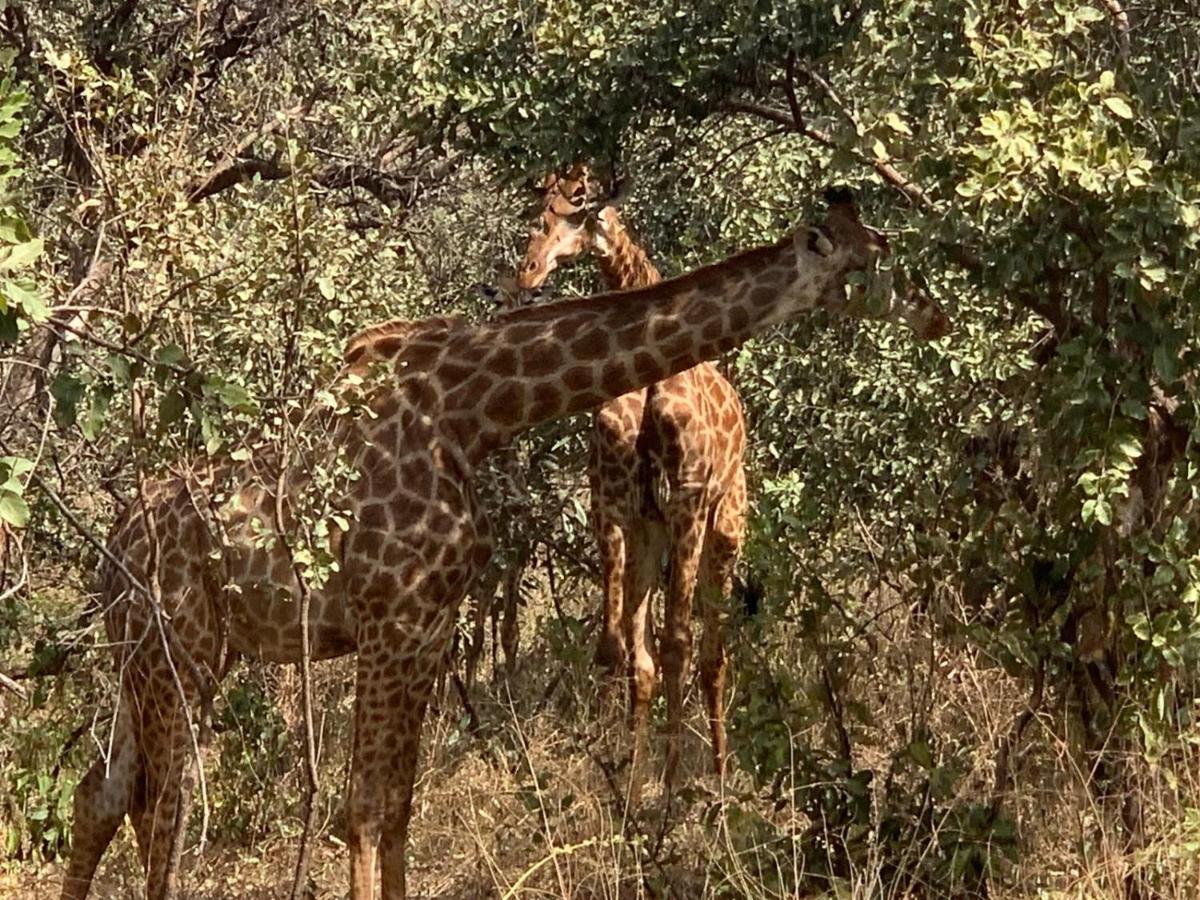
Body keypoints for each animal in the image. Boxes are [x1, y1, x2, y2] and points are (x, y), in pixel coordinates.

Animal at [63, 188, 945, 900]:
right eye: (877, 263)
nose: (939, 316)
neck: (472, 412)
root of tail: (112, 553)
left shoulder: (431, 625)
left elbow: (396, 805)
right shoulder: (392, 621)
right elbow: (363, 809)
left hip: (152, 656)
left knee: (99, 792)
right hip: (177, 650)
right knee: (162, 808)